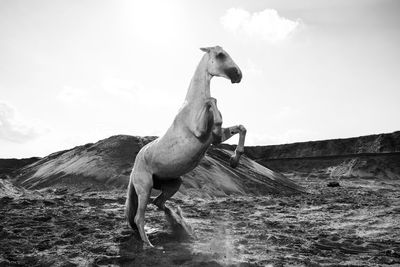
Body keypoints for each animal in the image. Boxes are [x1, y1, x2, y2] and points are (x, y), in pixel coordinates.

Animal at [126, 45, 247, 247]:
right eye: (220, 55)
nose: (238, 75)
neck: (194, 105)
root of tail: (134, 166)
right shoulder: (200, 133)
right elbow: (212, 100)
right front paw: (217, 123)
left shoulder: (213, 139)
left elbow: (241, 128)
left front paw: (234, 160)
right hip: (145, 188)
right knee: (139, 217)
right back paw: (150, 245)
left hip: (173, 184)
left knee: (158, 203)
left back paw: (180, 224)